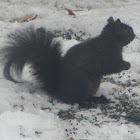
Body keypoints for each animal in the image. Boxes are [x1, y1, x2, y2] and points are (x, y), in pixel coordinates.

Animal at [0, 17, 135, 104]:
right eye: (128, 31)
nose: (134, 35)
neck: (110, 40)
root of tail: (60, 91)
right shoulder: (107, 55)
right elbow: (112, 66)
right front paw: (127, 65)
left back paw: (98, 99)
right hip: (83, 84)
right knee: (78, 100)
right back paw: (90, 103)